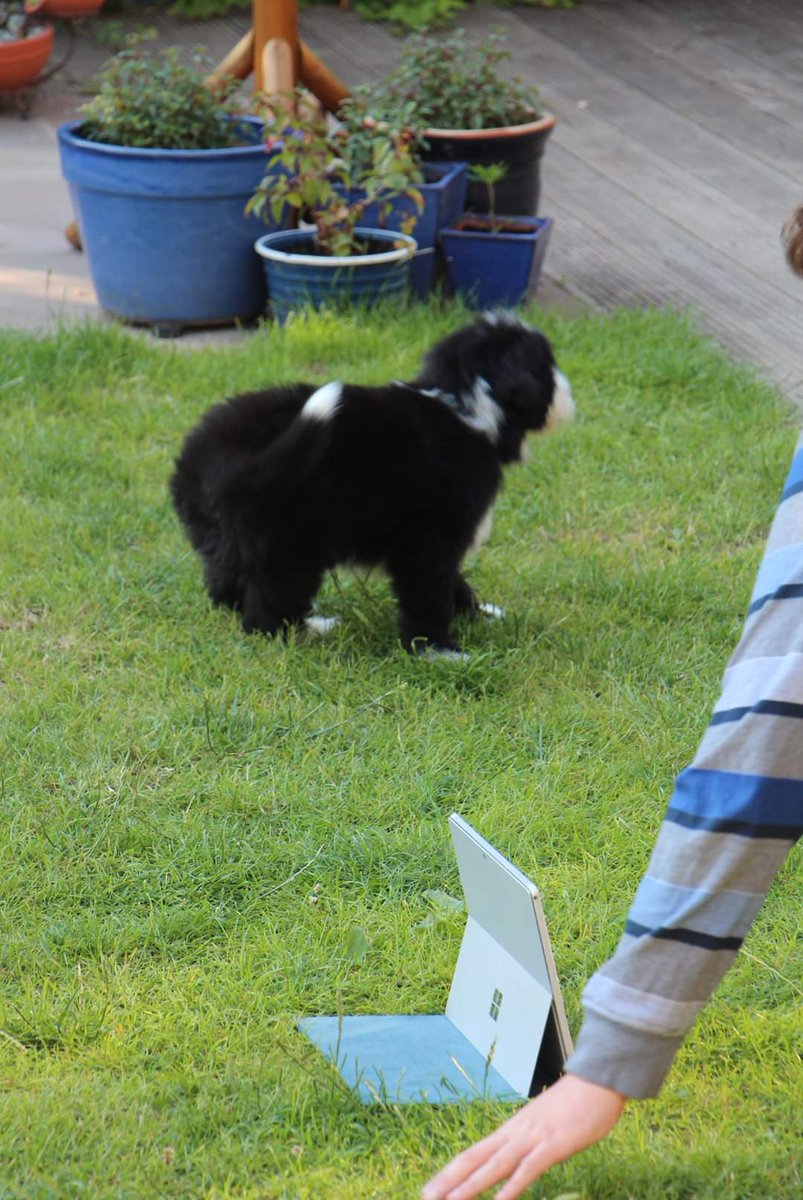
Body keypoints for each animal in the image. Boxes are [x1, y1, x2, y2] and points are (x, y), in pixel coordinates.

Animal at [170, 312, 568, 657]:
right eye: (548, 364)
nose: (567, 387)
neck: (463, 403)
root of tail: (218, 463)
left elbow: (455, 581)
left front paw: (480, 614)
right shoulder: (431, 539)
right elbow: (430, 590)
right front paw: (438, 650)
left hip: (226, 536)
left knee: (226, 587)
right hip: (291, 542)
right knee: (267, 611)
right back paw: (311, 628)